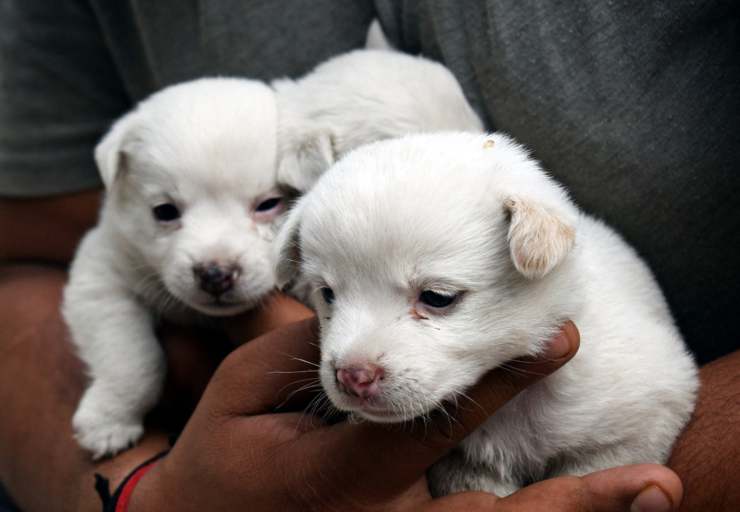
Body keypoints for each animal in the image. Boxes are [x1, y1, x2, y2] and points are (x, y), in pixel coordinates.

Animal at [63, 77, 286, 456]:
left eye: (269, 204)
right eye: (164, 211)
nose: (215, 274)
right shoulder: (102, 276)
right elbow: (129, 357)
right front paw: (108, 421)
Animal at [274, 132, 700, 496]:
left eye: (437, 297)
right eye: (327, 294)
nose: (353, 376)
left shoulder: (646, 417)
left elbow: (595, 464)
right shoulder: (464, 464)